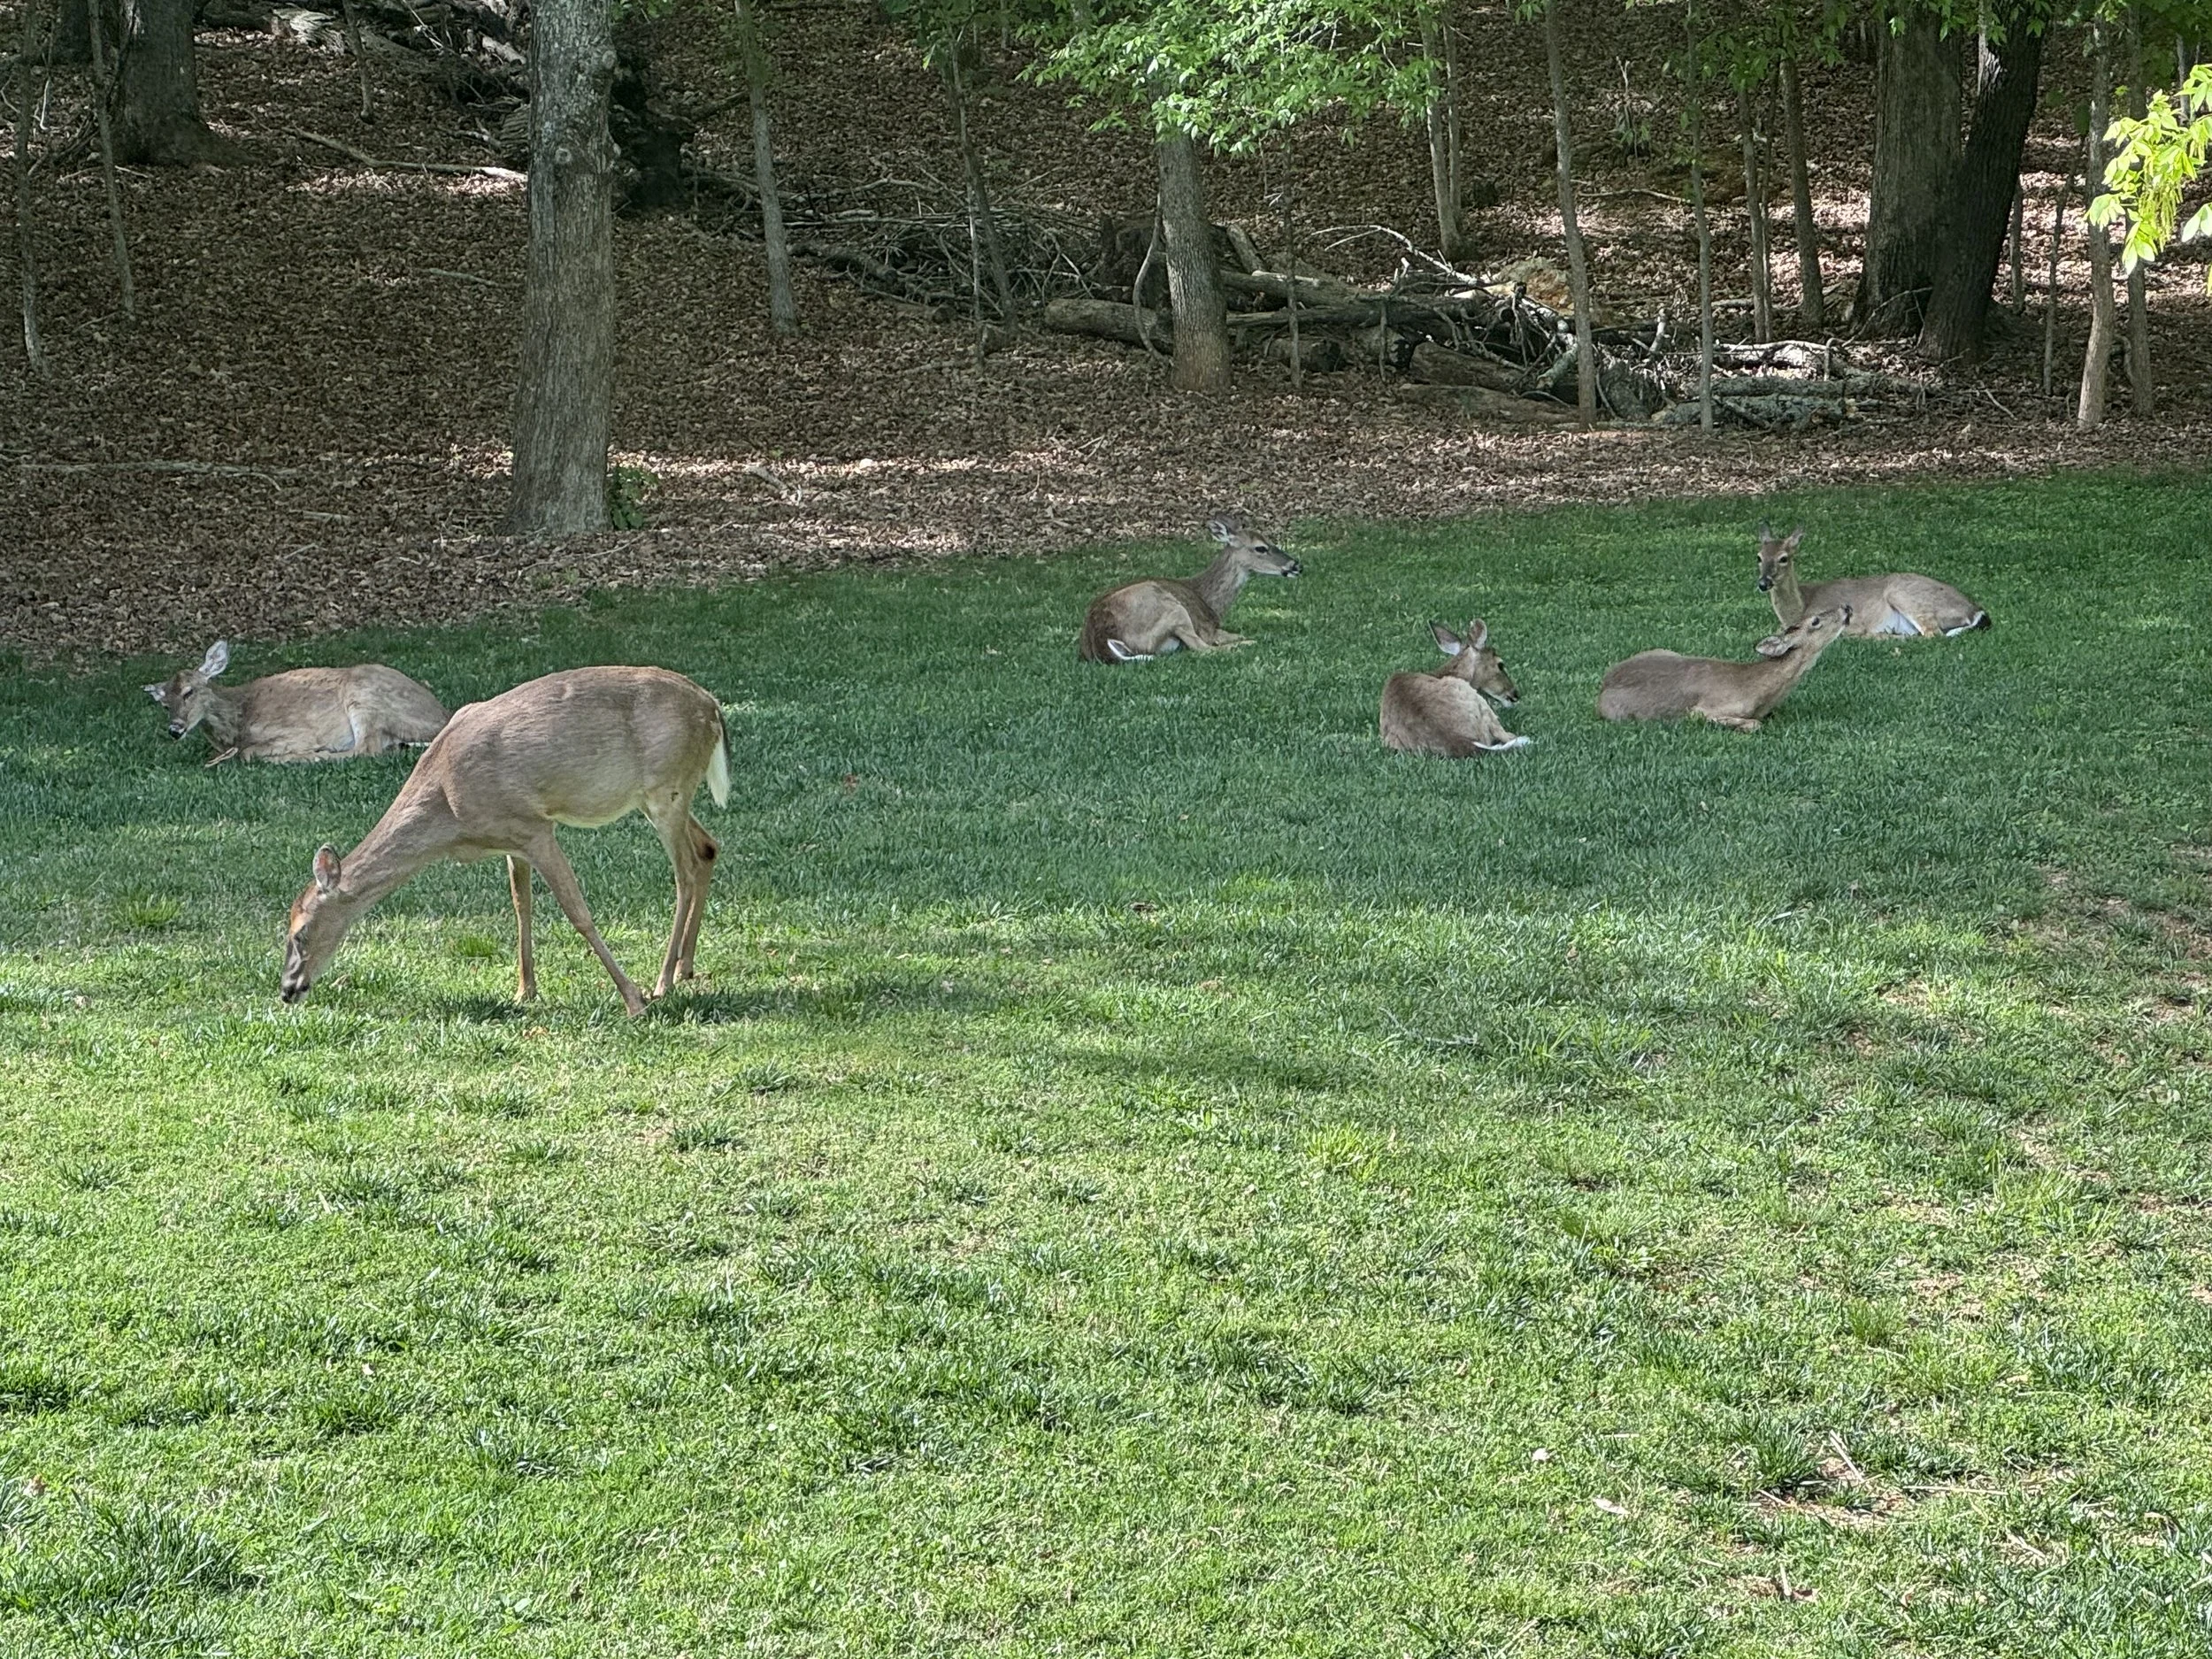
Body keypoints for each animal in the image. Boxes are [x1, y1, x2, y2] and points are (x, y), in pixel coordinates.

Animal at [144, 641, 449, 765]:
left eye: (189, 691)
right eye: (165, 704)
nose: (175, 729)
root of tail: (443, 718)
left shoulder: (296, 732)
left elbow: (249, 752)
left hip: (364, 696)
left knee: (366, 749)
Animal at [280, 666, 729, 1018]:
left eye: (299, 933)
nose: (287, 989)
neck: (448, 810)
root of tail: (712, 707)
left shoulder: (535, 827)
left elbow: (578, 912)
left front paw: (632, 999)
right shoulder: (512, 841)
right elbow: (520, 906)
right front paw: (524, 990)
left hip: (665, 789)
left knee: (685, 872)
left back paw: (663, 981)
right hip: (663, 796)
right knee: (708, 847)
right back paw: (686, 967)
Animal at [1078, 516, 1303, 663]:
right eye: (1260, 548)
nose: (1296, 565)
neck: (1208, 600)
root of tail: (1101, 640)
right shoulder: (1207, 628)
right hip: (1171, 609)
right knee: (1204, 649)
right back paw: (1252, 643)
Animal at [1597, 604, 1854, 732]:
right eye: (1815, 621)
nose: (1846, 608)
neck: (1758, 690)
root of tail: (1602, 688)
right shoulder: (1703, 709)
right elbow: (1753, 724)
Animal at [1756, 525, 1989, 638]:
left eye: (1783, 558)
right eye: (1758, 556)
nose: (1763, 583)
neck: (1801, 607)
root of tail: (1976, 611)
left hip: (1903, 594)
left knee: (1932, 634)